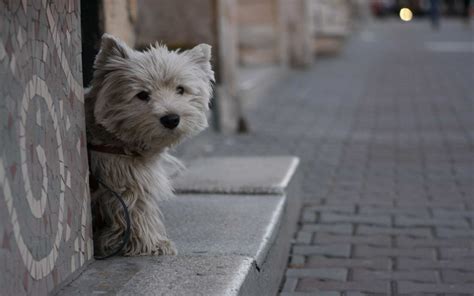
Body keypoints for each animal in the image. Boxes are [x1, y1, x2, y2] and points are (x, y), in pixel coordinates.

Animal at [85, 34, 215, 256]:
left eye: (180, 89)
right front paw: (152, 244)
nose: (171, 119)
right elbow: (136, 210)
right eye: (142, 94)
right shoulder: (127, 179)